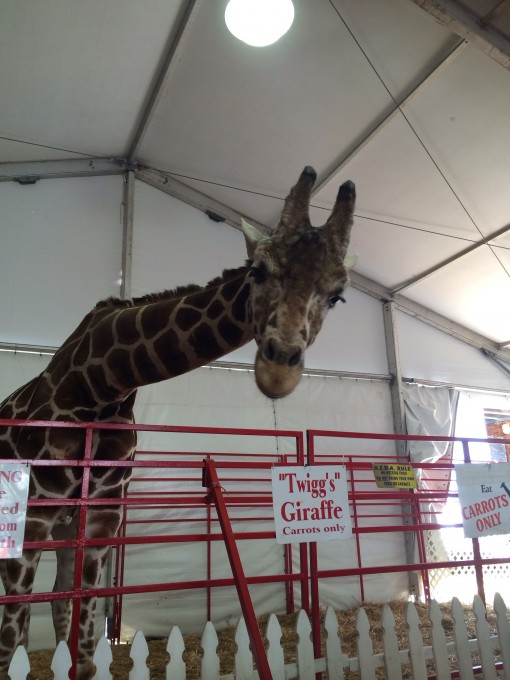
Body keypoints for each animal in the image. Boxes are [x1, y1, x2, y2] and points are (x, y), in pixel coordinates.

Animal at [0, 166, 354, 680]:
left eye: (337, 295)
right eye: (257, 269)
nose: (278, 370)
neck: (100, 383)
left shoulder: (99, 520)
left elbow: (81, 653)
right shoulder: (32, 517)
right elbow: (9, 647)